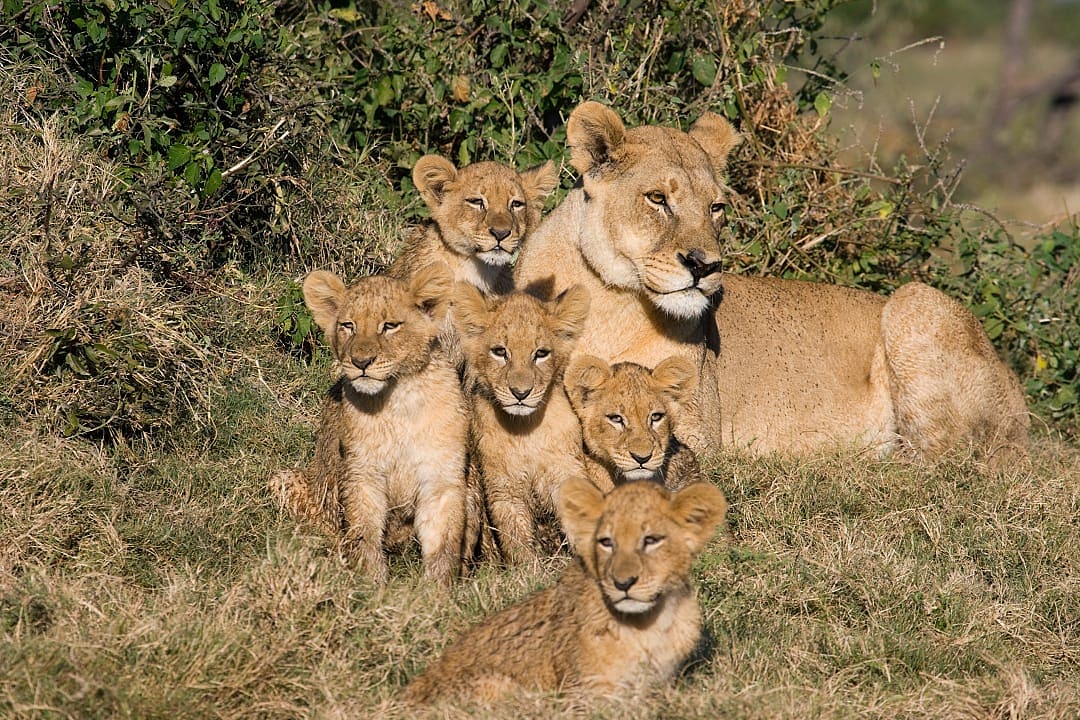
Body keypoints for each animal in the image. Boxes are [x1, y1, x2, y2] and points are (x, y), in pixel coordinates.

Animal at [268, 263, 469, 586]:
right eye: (348, 325)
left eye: (390, 326)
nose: (361, 361)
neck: (398, 400)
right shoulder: (361, 474)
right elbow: (364, 533)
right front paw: (371, 584)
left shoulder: (441, 476)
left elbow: (443, 541)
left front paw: (438, 589)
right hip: (285, 481)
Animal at [454, 281, 594, 563]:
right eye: (500, 352)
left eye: (541, 353)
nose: (521, 393)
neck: (525, 431)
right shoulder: (503, 492)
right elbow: (517, 544)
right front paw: (529, 569)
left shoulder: (565, 474)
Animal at [514, 100, 1029, 464]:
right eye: (657, 198)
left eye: (716, 208)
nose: (705, 266)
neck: (609, 299)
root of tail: (1020, 401)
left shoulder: (698, 429)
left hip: (913, 301)